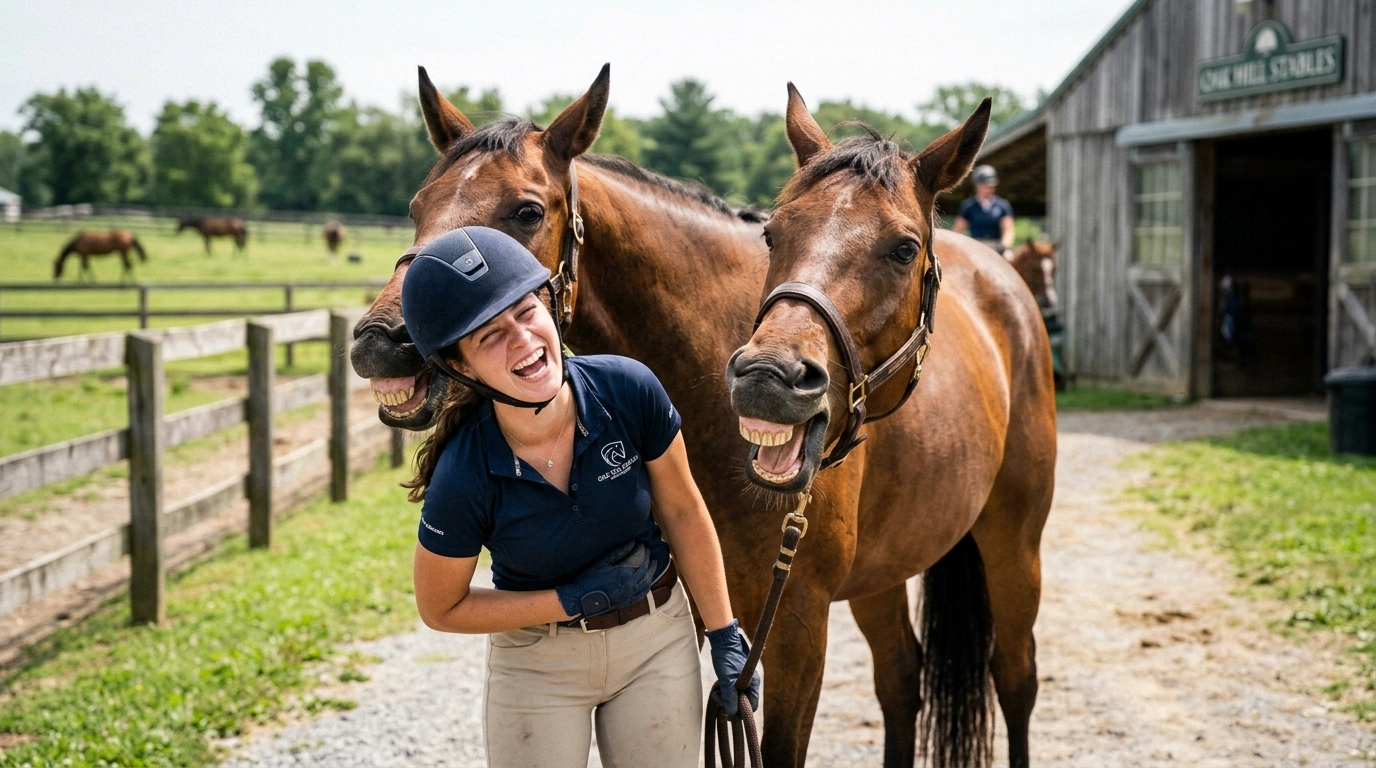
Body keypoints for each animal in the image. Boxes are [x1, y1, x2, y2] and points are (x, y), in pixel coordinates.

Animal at [724, 87, 1057, 767]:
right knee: (902, 676)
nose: (767, 377)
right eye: (771, 234)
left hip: (1016, 543)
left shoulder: (795, 621)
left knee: (1015, 676)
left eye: (904, 249)